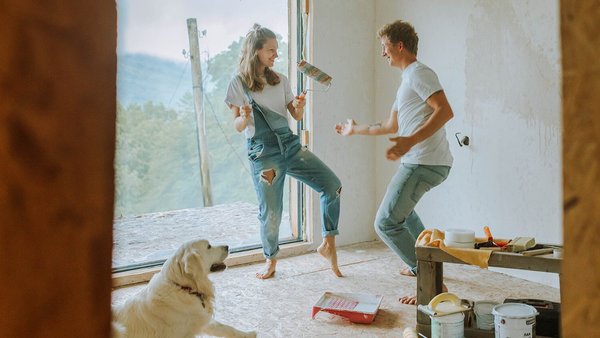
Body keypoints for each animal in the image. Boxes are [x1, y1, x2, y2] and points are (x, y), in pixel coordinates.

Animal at [113, 239, 256, 336]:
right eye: (209, 246)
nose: (227, 246)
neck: (183, 288)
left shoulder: (200, 318)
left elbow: (226, 328)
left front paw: (248, 334)